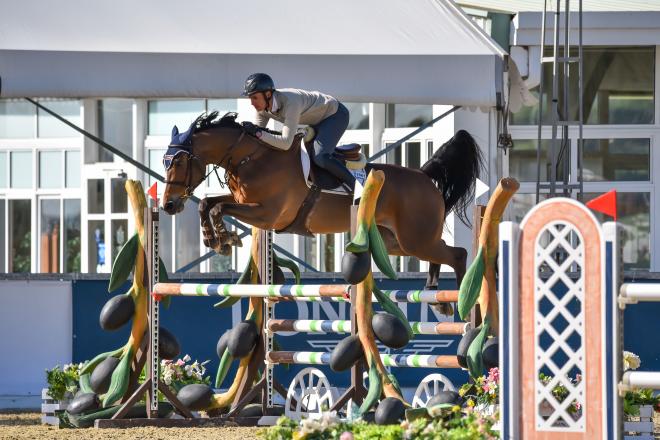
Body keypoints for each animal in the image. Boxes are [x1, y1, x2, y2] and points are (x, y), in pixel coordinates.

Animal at [160, 112, 480, 288]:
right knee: (442, 253)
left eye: (179, 162)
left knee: (457, 254)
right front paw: (213, 239)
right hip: (396, 241)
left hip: (415, 239)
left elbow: (219, 207)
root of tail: (424, 176)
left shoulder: (267, 214)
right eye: (164, 161)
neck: (251, 157)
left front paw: (225, 240)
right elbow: (209, 203)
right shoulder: (247, 202)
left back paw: (459, 306)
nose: (168, 205)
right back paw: (434, 289)